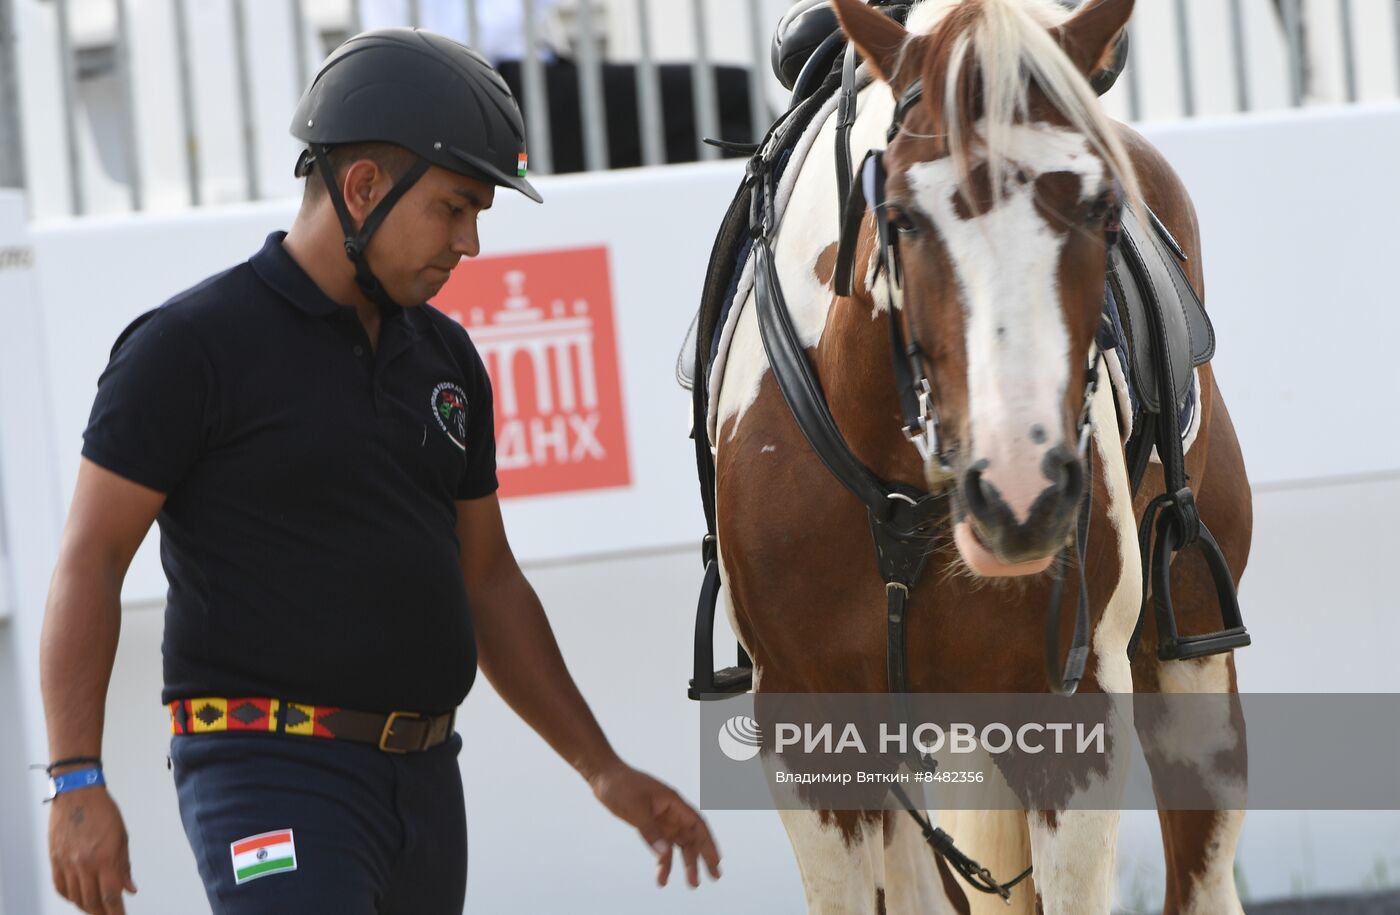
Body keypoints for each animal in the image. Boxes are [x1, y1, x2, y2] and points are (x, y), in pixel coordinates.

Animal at [716, 0, 1254, 912]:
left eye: (1104, 211)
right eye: (902, 215)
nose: (1020, 490)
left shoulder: (1072, 709)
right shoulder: (806, 723)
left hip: (1192, 663)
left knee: (1202, 869)